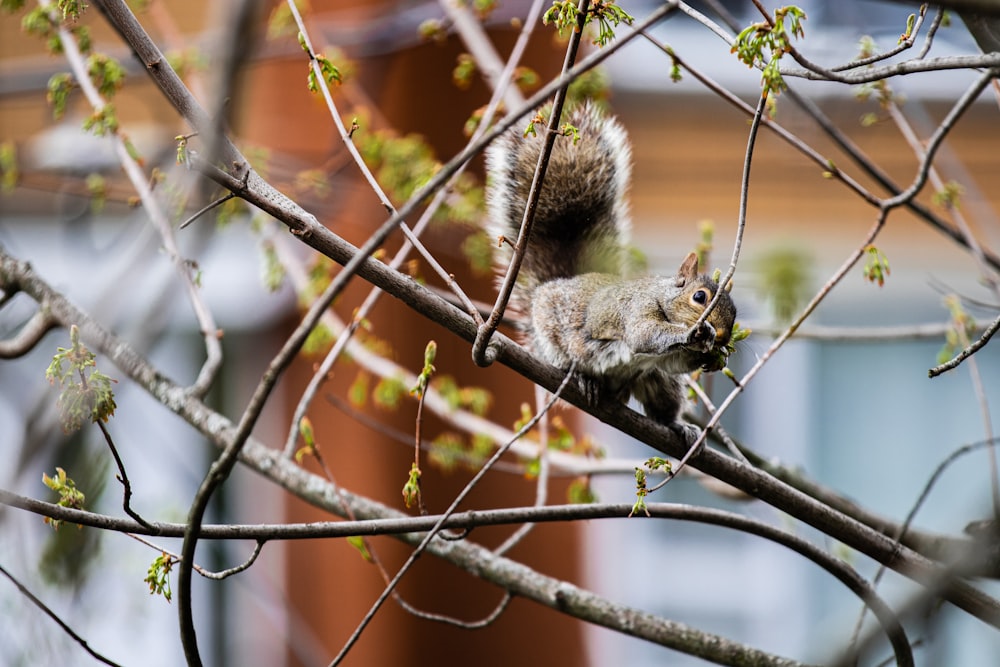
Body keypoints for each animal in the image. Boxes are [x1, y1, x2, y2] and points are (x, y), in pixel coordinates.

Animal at [488, 103, 740, 438]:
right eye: (699, 297)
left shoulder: (667, 361)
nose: (723, 336)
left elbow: (674, 363)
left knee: (662, 405)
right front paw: (696, 334)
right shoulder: (636, 311)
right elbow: (645, 335)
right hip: (552, 339)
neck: (660, 295)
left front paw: (713, 358)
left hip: (659, 383)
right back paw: (583, 380)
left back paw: (677, 426)